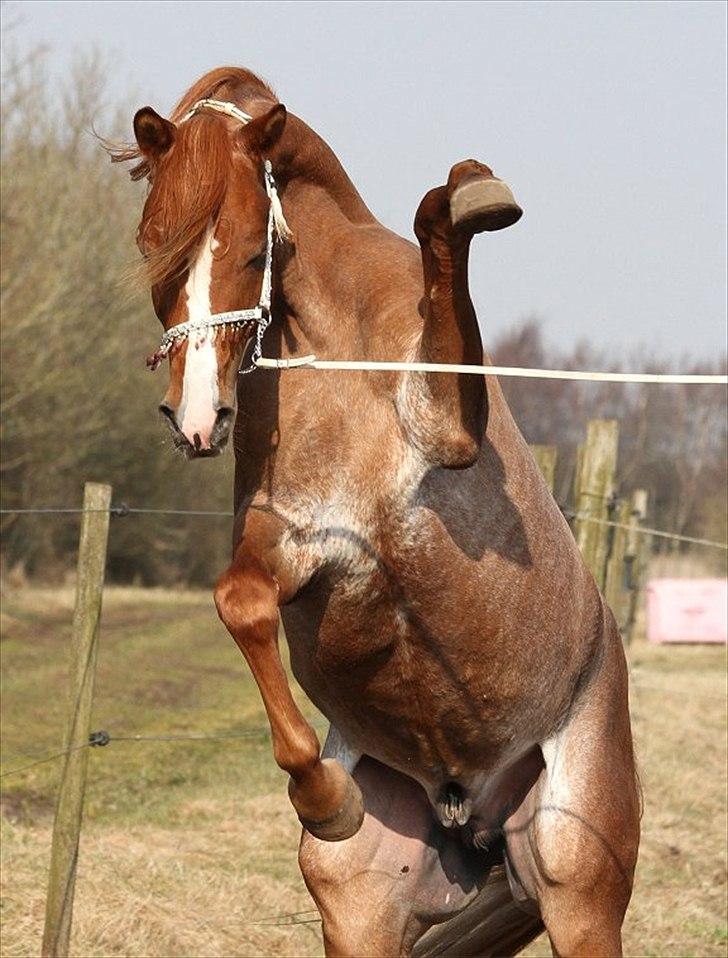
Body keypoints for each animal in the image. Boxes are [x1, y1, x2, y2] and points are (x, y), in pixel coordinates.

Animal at [112, 67, 636, 958]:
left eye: (250, 249)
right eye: (156, 245)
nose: (197, 419)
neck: (336, 348)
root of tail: (469, 816)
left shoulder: (446, 434)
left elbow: (438, 222)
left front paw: (473, 191)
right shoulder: (299, 541)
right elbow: (239, 601)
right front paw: (325, 799)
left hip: (579, 885)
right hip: (363, 907)